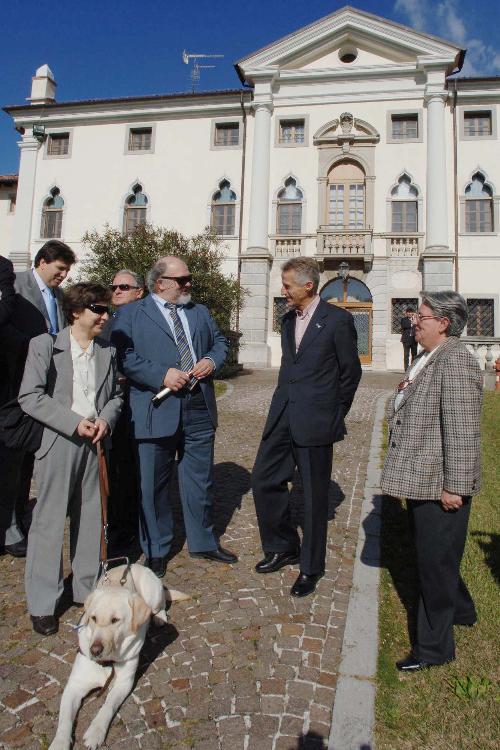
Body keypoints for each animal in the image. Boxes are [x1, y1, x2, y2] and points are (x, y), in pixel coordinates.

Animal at [49, 564, 189, 750]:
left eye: (115, 620)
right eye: (93, 618)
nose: (95, 650)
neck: (106, 662)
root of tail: (137, 564)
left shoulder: (123, 683)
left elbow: (108, 706)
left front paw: (96, 731)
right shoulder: (74, 686)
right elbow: (64, 720)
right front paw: (59, 742)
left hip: (153, 594)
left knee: (161, 606)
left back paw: (159, 618)